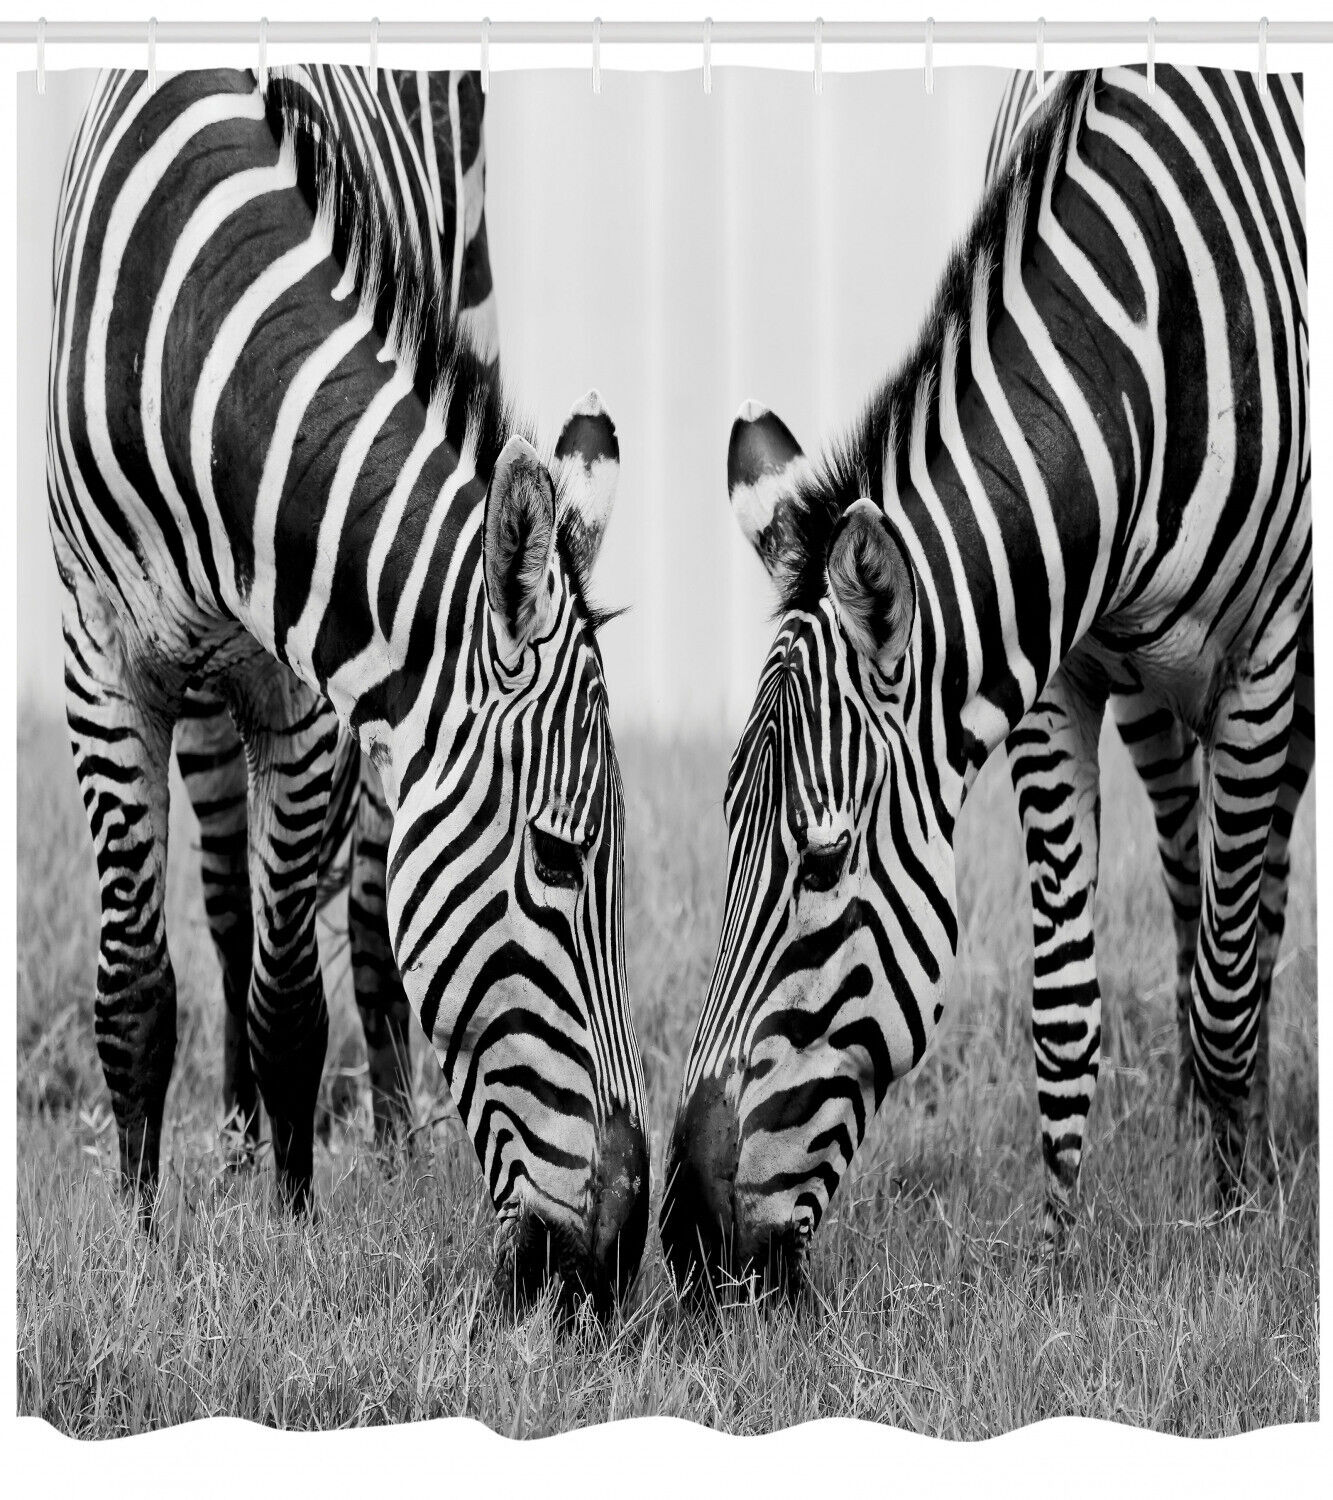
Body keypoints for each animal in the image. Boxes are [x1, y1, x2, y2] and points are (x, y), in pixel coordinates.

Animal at [660, 65, 1309, 1297]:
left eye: (823, 861)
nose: (687, 1244)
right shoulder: (1054, 671)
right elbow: (1066, 1004)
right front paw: (1057, 1255)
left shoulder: (1265, 651)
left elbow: (1226, 991)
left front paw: (1242, 1226)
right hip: (1155, 691)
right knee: (1193, 870)